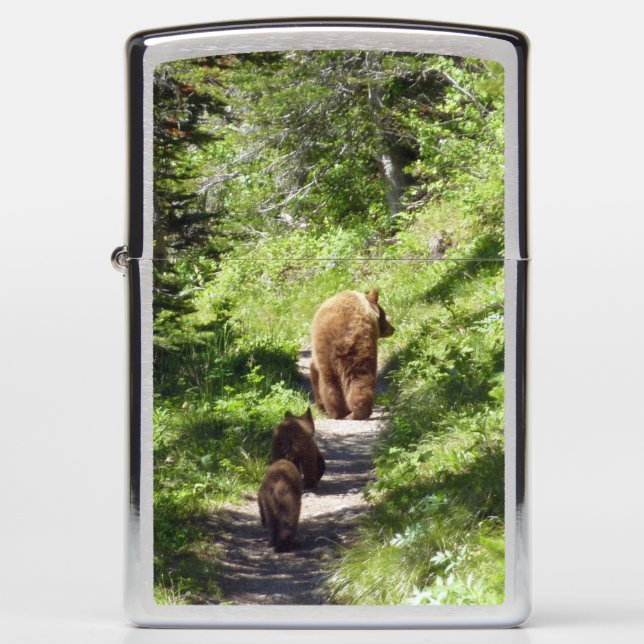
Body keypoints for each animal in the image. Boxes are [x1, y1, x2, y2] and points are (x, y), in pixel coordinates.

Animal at [310, 288, 394, 420]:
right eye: (384, 315)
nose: (392, 329)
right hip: (357, 349)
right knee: (358, 378)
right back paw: (353, 412)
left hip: (335, 354)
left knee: (334, 383)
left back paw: (340, 412)